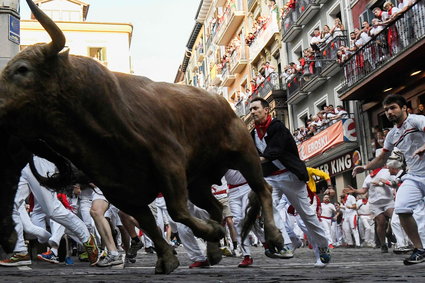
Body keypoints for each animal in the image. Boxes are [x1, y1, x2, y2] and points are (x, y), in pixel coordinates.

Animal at [0, 0, 284, 276]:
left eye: (22, 69)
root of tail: (221, 102)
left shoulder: (168, 163)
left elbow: (176, 211)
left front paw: (210, 232)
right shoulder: (120, 190)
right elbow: (149, 224)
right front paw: (168, 258)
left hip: (244, 152)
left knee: (263, 189)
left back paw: (274, 239)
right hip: (198, 182)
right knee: (214, 206)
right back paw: (214, 252)